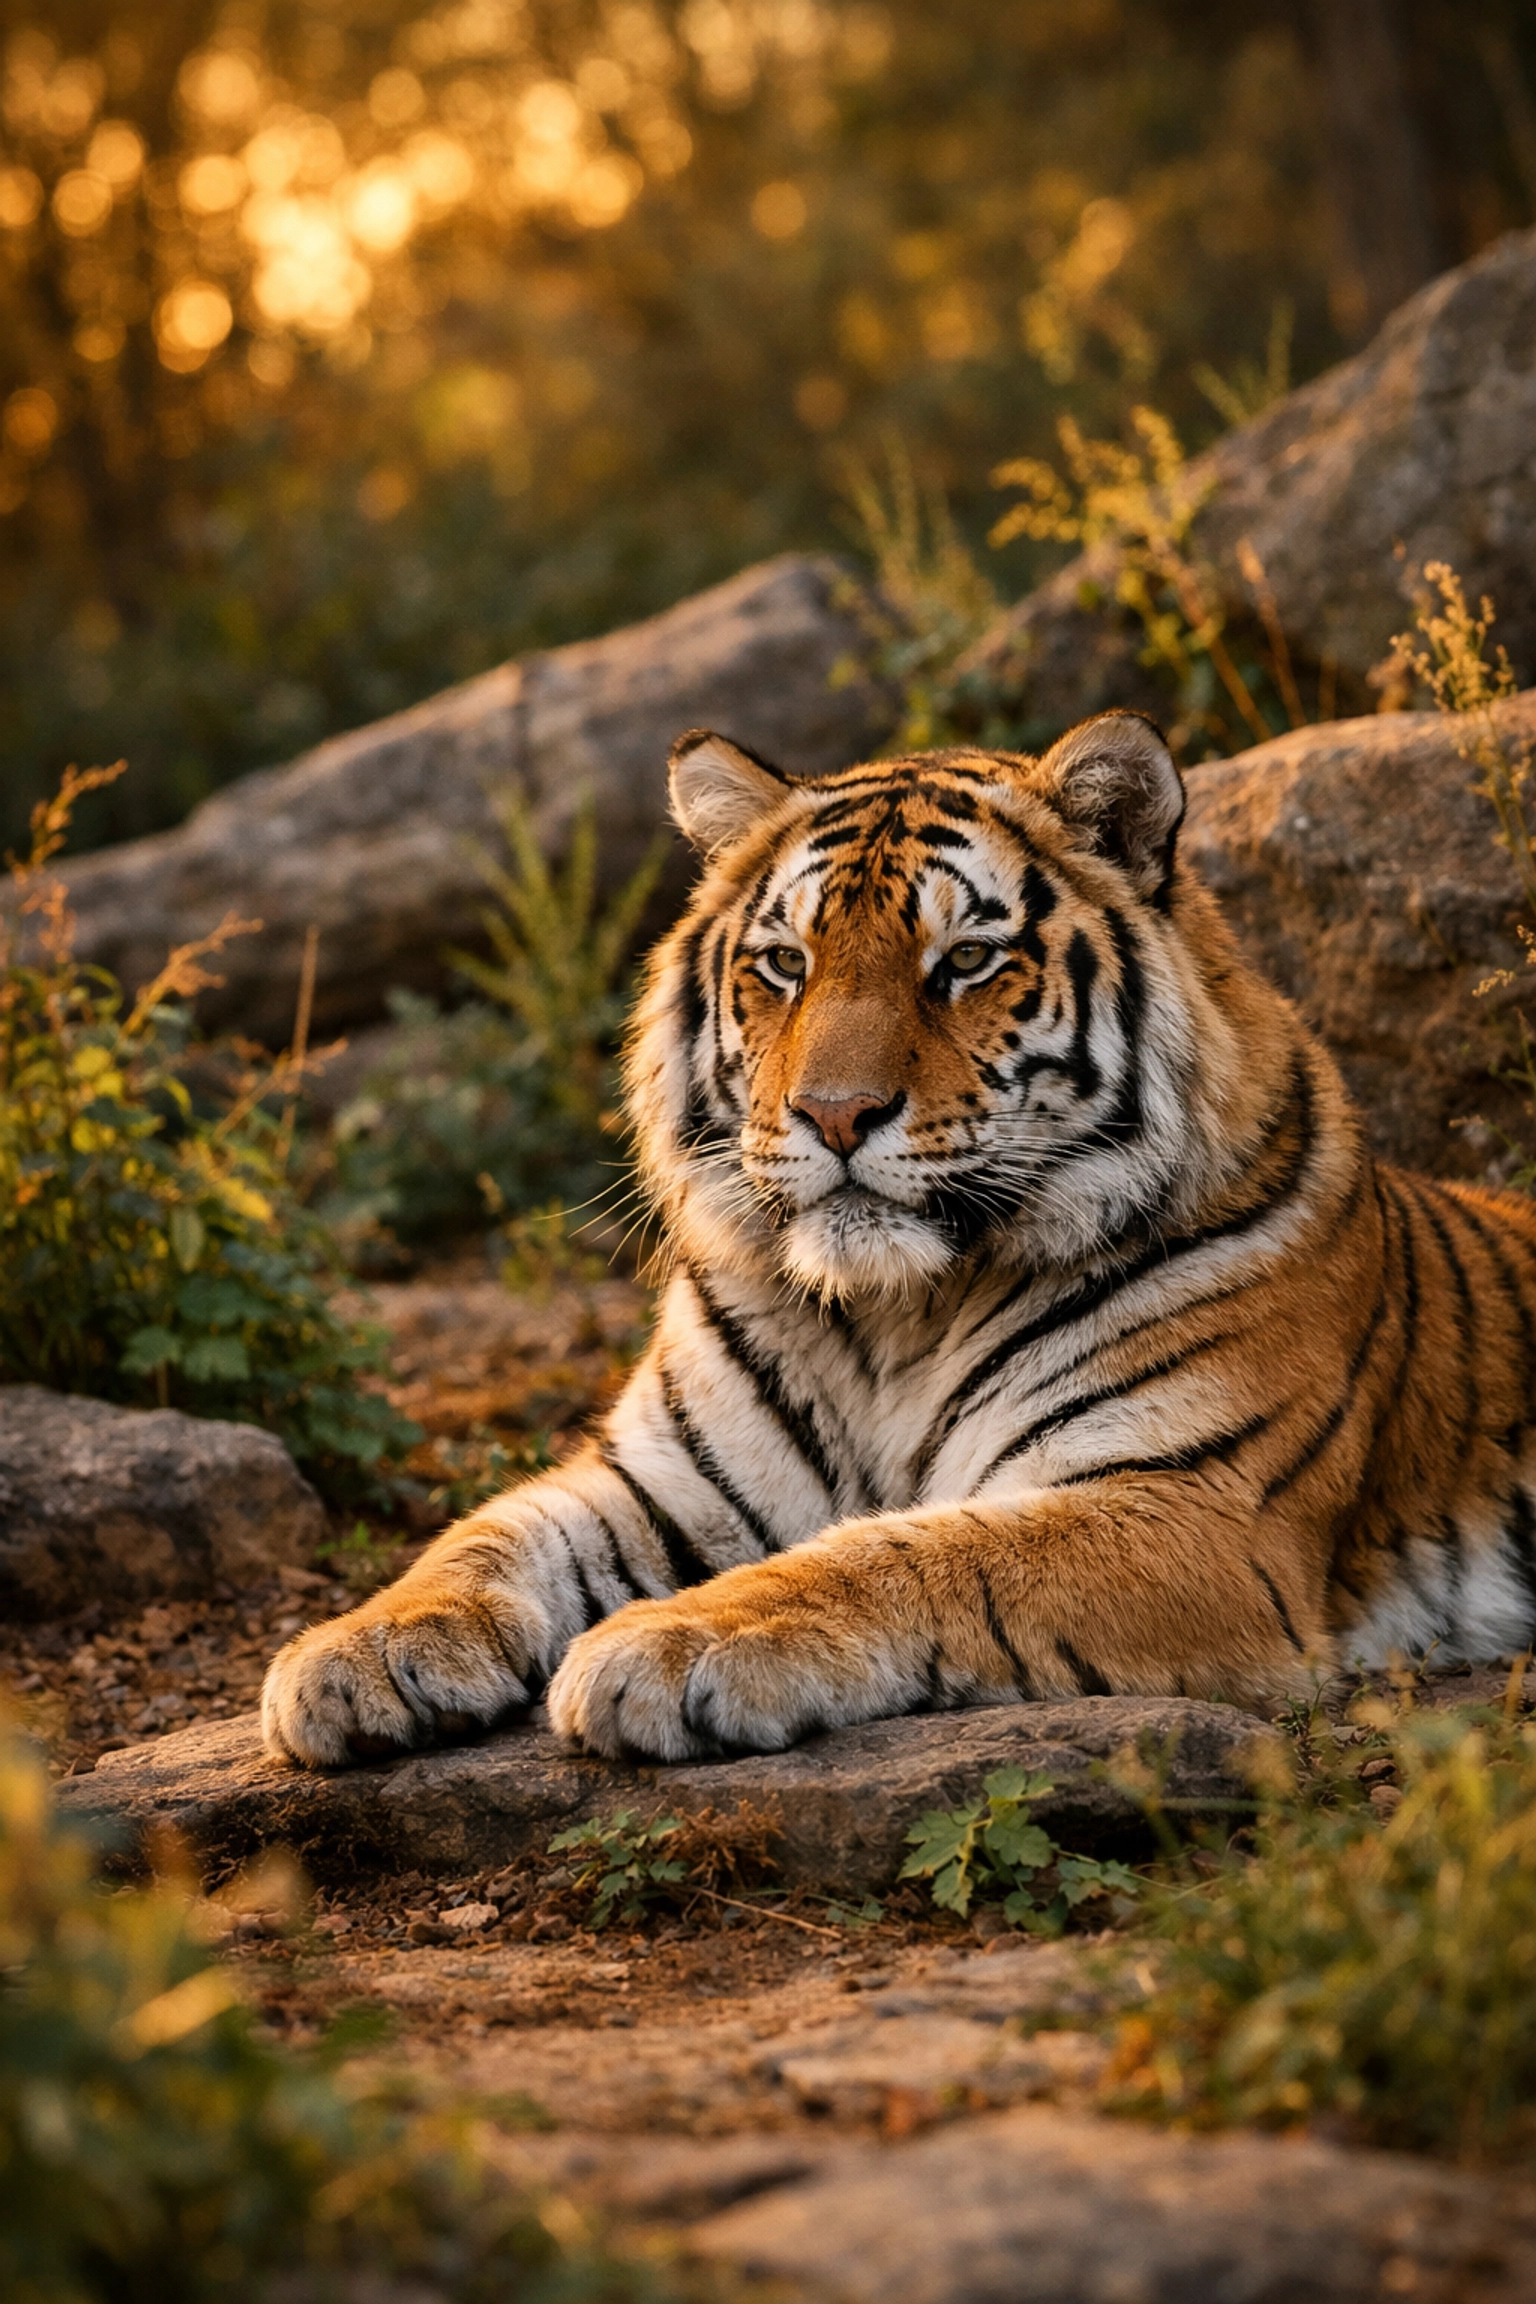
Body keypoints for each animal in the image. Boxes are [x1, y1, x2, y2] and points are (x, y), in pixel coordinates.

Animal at [262, 709, 1536, 1769]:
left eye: (964, 961)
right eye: (786, 964)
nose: (835, 1114)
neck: (895, 1314)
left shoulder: (1196, 1508)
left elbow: (911, 1551)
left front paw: (666, 1644)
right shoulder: (658, 1478)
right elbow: (487, 1534)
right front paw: (355, 1653)